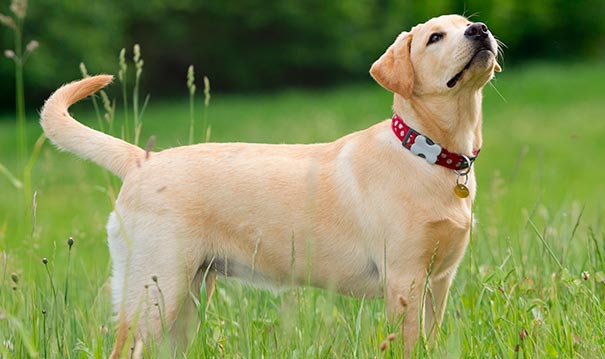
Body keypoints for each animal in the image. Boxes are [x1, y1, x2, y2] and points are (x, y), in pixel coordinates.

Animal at [39, 13, 500, 358]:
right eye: (435, 37)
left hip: (186, 300)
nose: (481, 30)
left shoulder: (439, 282)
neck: (429, 154)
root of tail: (140, 160)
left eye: (468, 23)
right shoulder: (405, 281)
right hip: (153, 293)